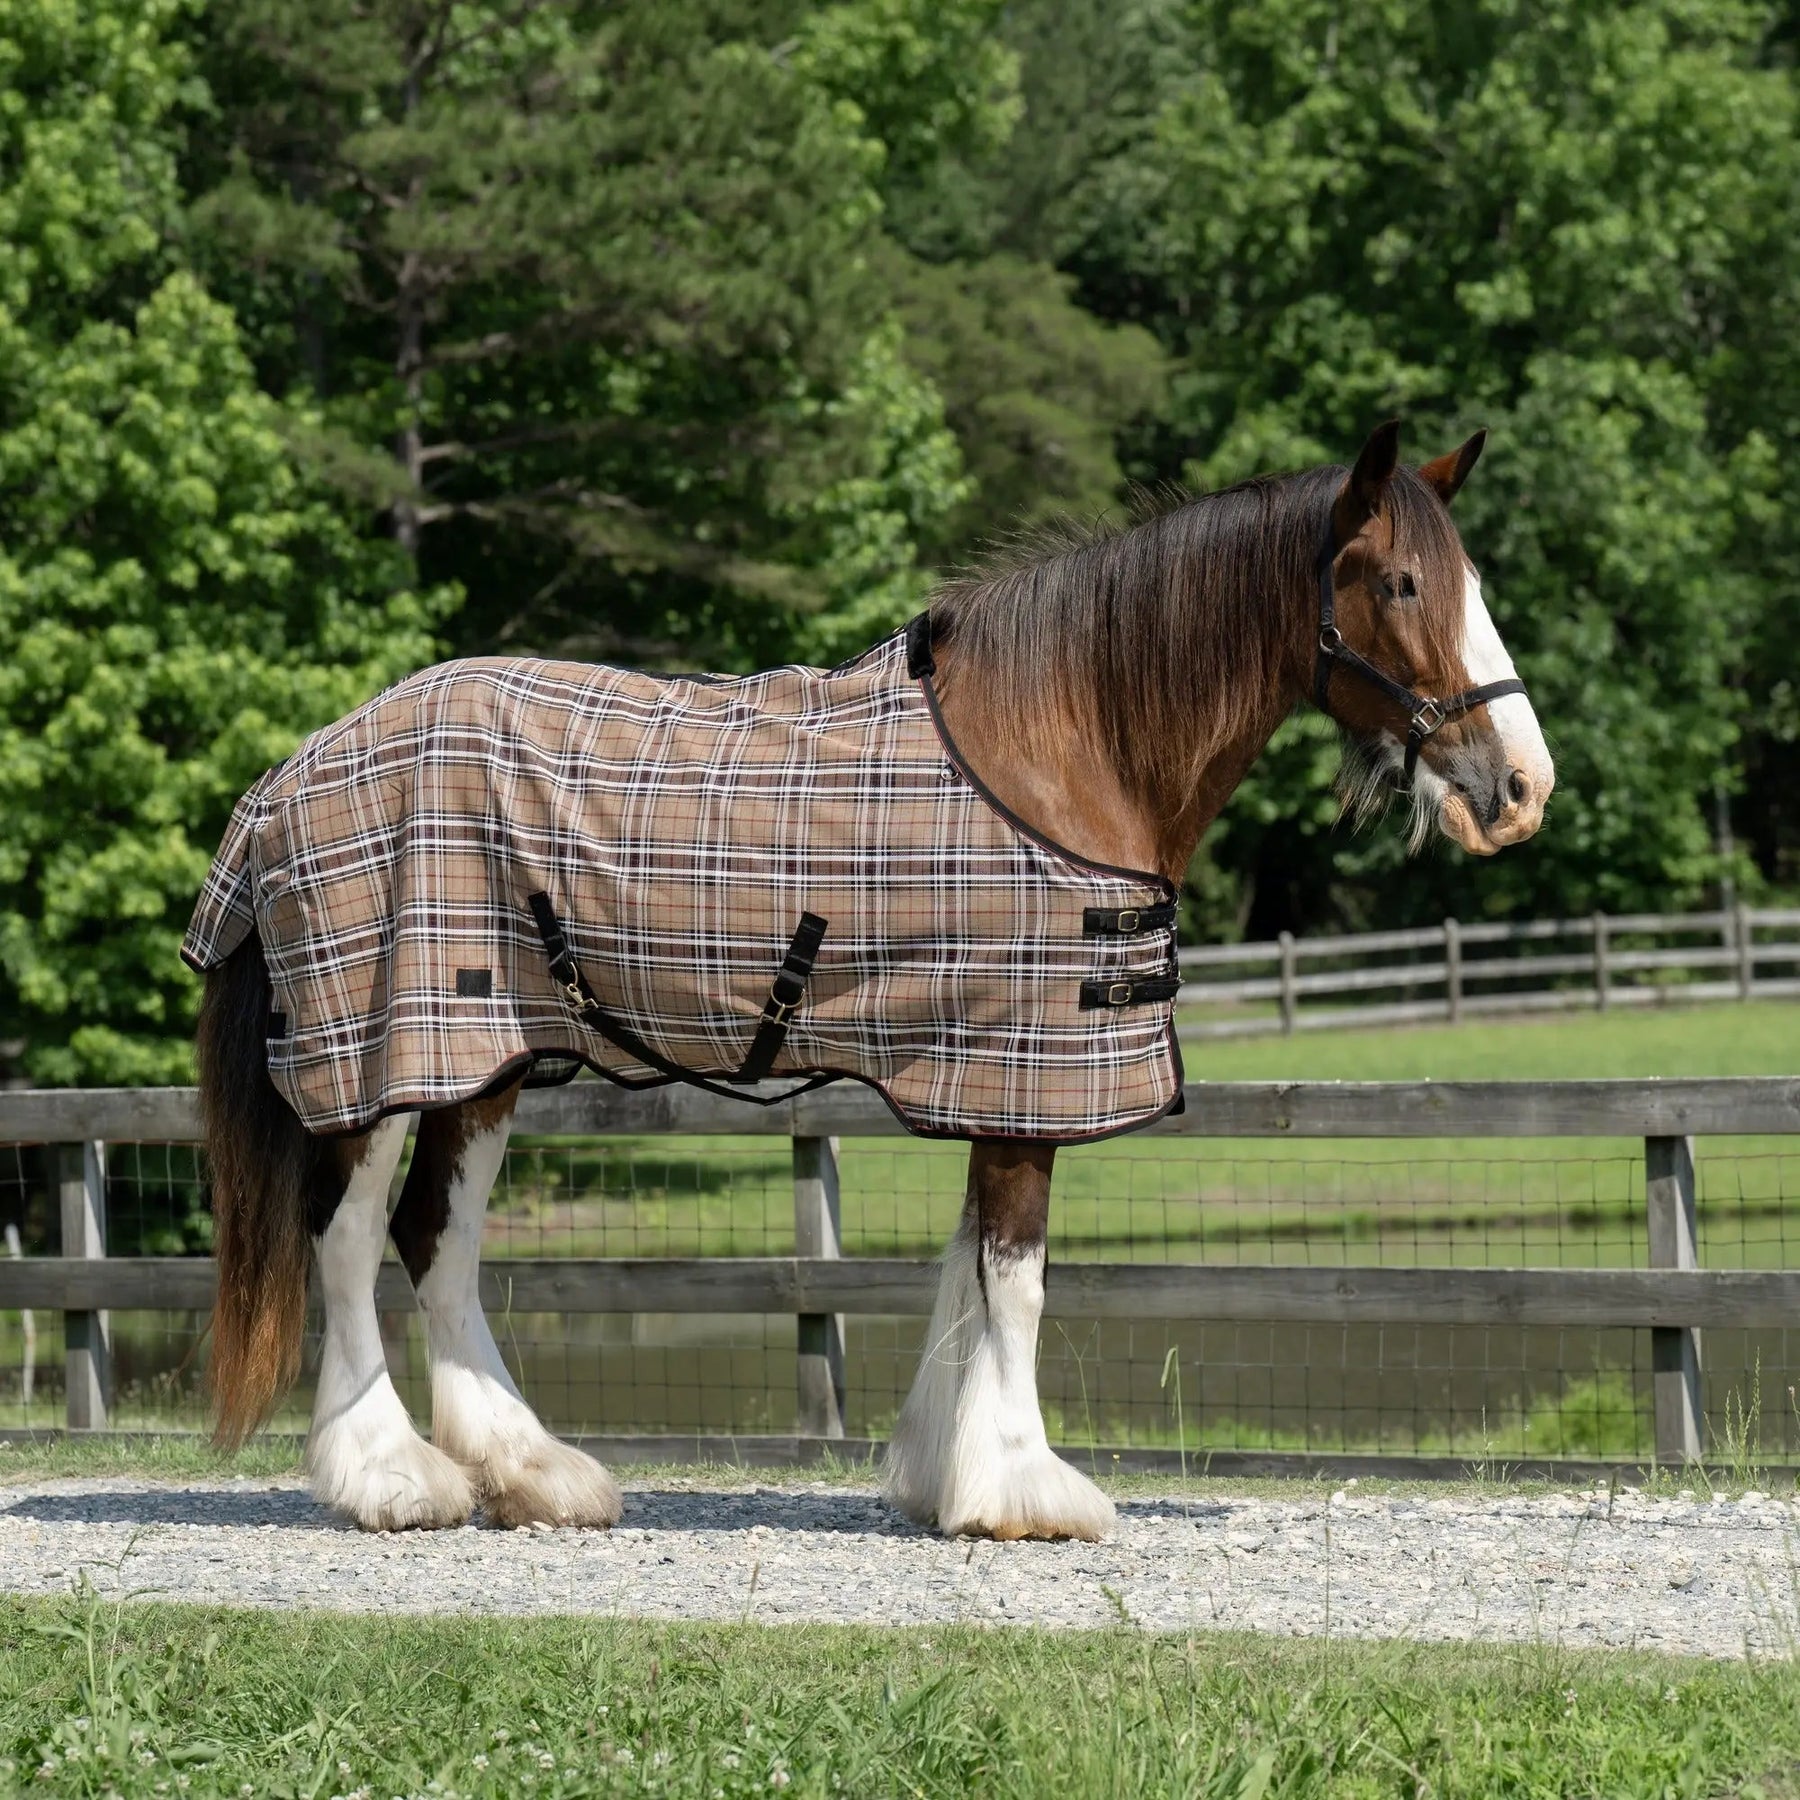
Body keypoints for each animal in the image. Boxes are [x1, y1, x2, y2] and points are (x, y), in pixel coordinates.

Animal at [191, 420, 1552, 1539]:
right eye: (1402, 583)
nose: (1521, 789)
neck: (1064, 743)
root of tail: (291, 774)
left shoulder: (990, 1072)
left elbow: (969, 1268)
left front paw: (946, 1472)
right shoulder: (1025, 1070)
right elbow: (1016, 1279)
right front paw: (1022, 1491)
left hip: (485, 1058)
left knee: (438, 1236)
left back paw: (531, 1474)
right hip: (378, 1060)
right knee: (345, 1238)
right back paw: (388, 1478)